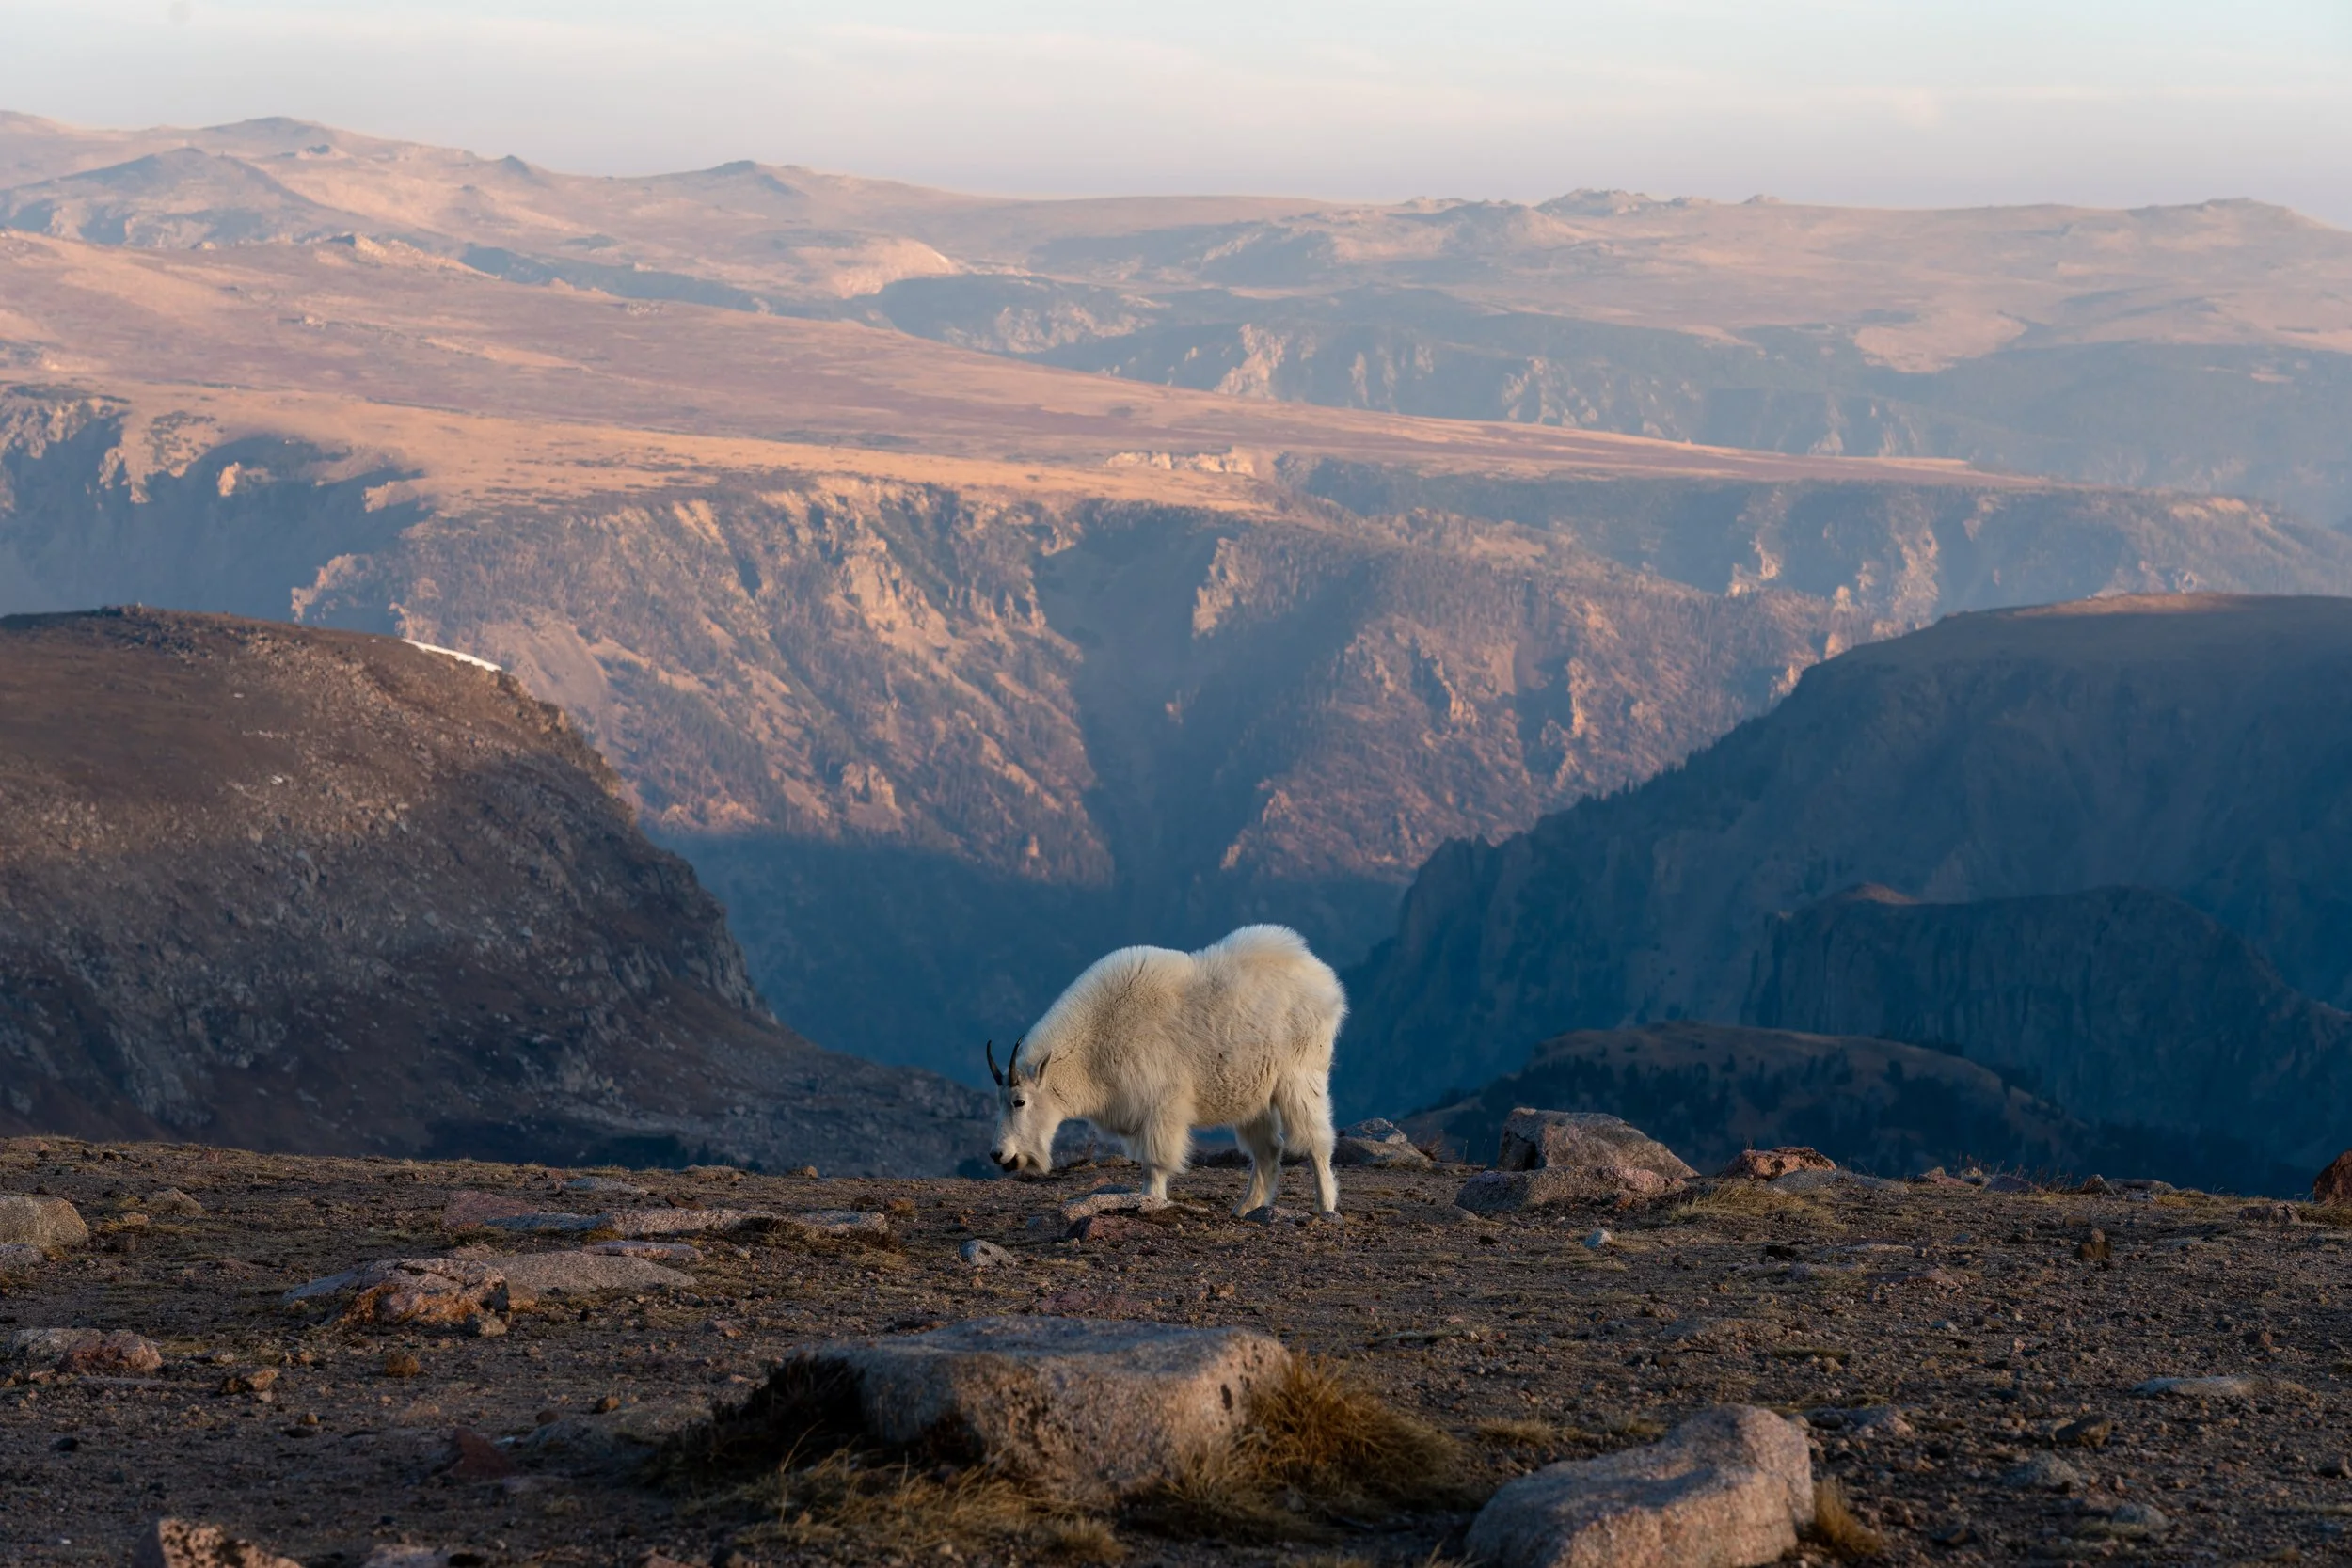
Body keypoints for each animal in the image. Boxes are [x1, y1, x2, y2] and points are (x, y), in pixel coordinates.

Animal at [986, 924, 1347, 1215]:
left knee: (1316, 1142)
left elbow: (1155, 1164)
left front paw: (1149, 1201)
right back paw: (1244, 1209)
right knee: (1268, 1150)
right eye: (1000, 1102)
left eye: (1019, 1101)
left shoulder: (1161, 1107)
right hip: (1253, 1094)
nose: (999, 1154)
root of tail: (1326, 982)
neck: (1096, 1040)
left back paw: (1325, 1206)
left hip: (1301, 1078)